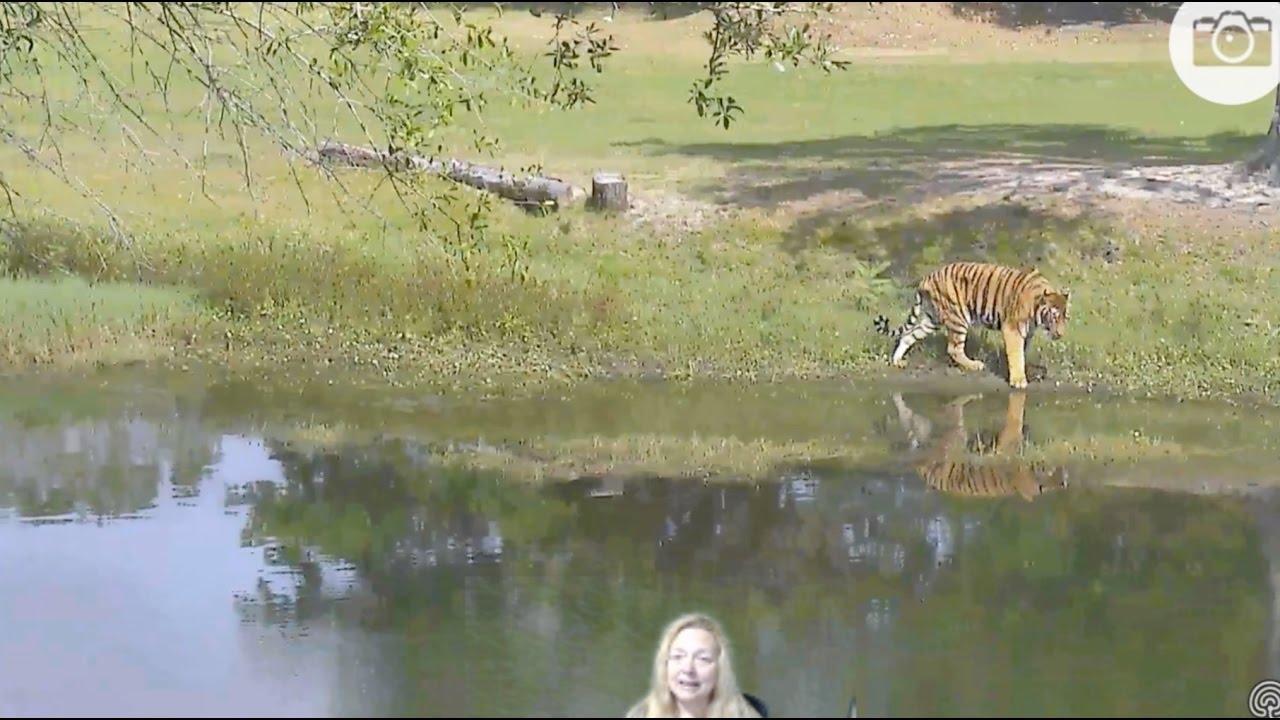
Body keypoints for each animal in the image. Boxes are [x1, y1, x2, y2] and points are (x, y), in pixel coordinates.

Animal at [873, 261, 1071, 389]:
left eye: (1065, 318)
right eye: (1055, 317)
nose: (1061, 334)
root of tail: (927, 278)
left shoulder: (1026, 332)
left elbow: (1021, 353)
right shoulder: (1012, 328)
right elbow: (1016, 355)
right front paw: (1018, 380)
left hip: (932, 320)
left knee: (908, 336)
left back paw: (897, 361)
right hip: (958, 318)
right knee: (953, 349)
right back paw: (974, 365)